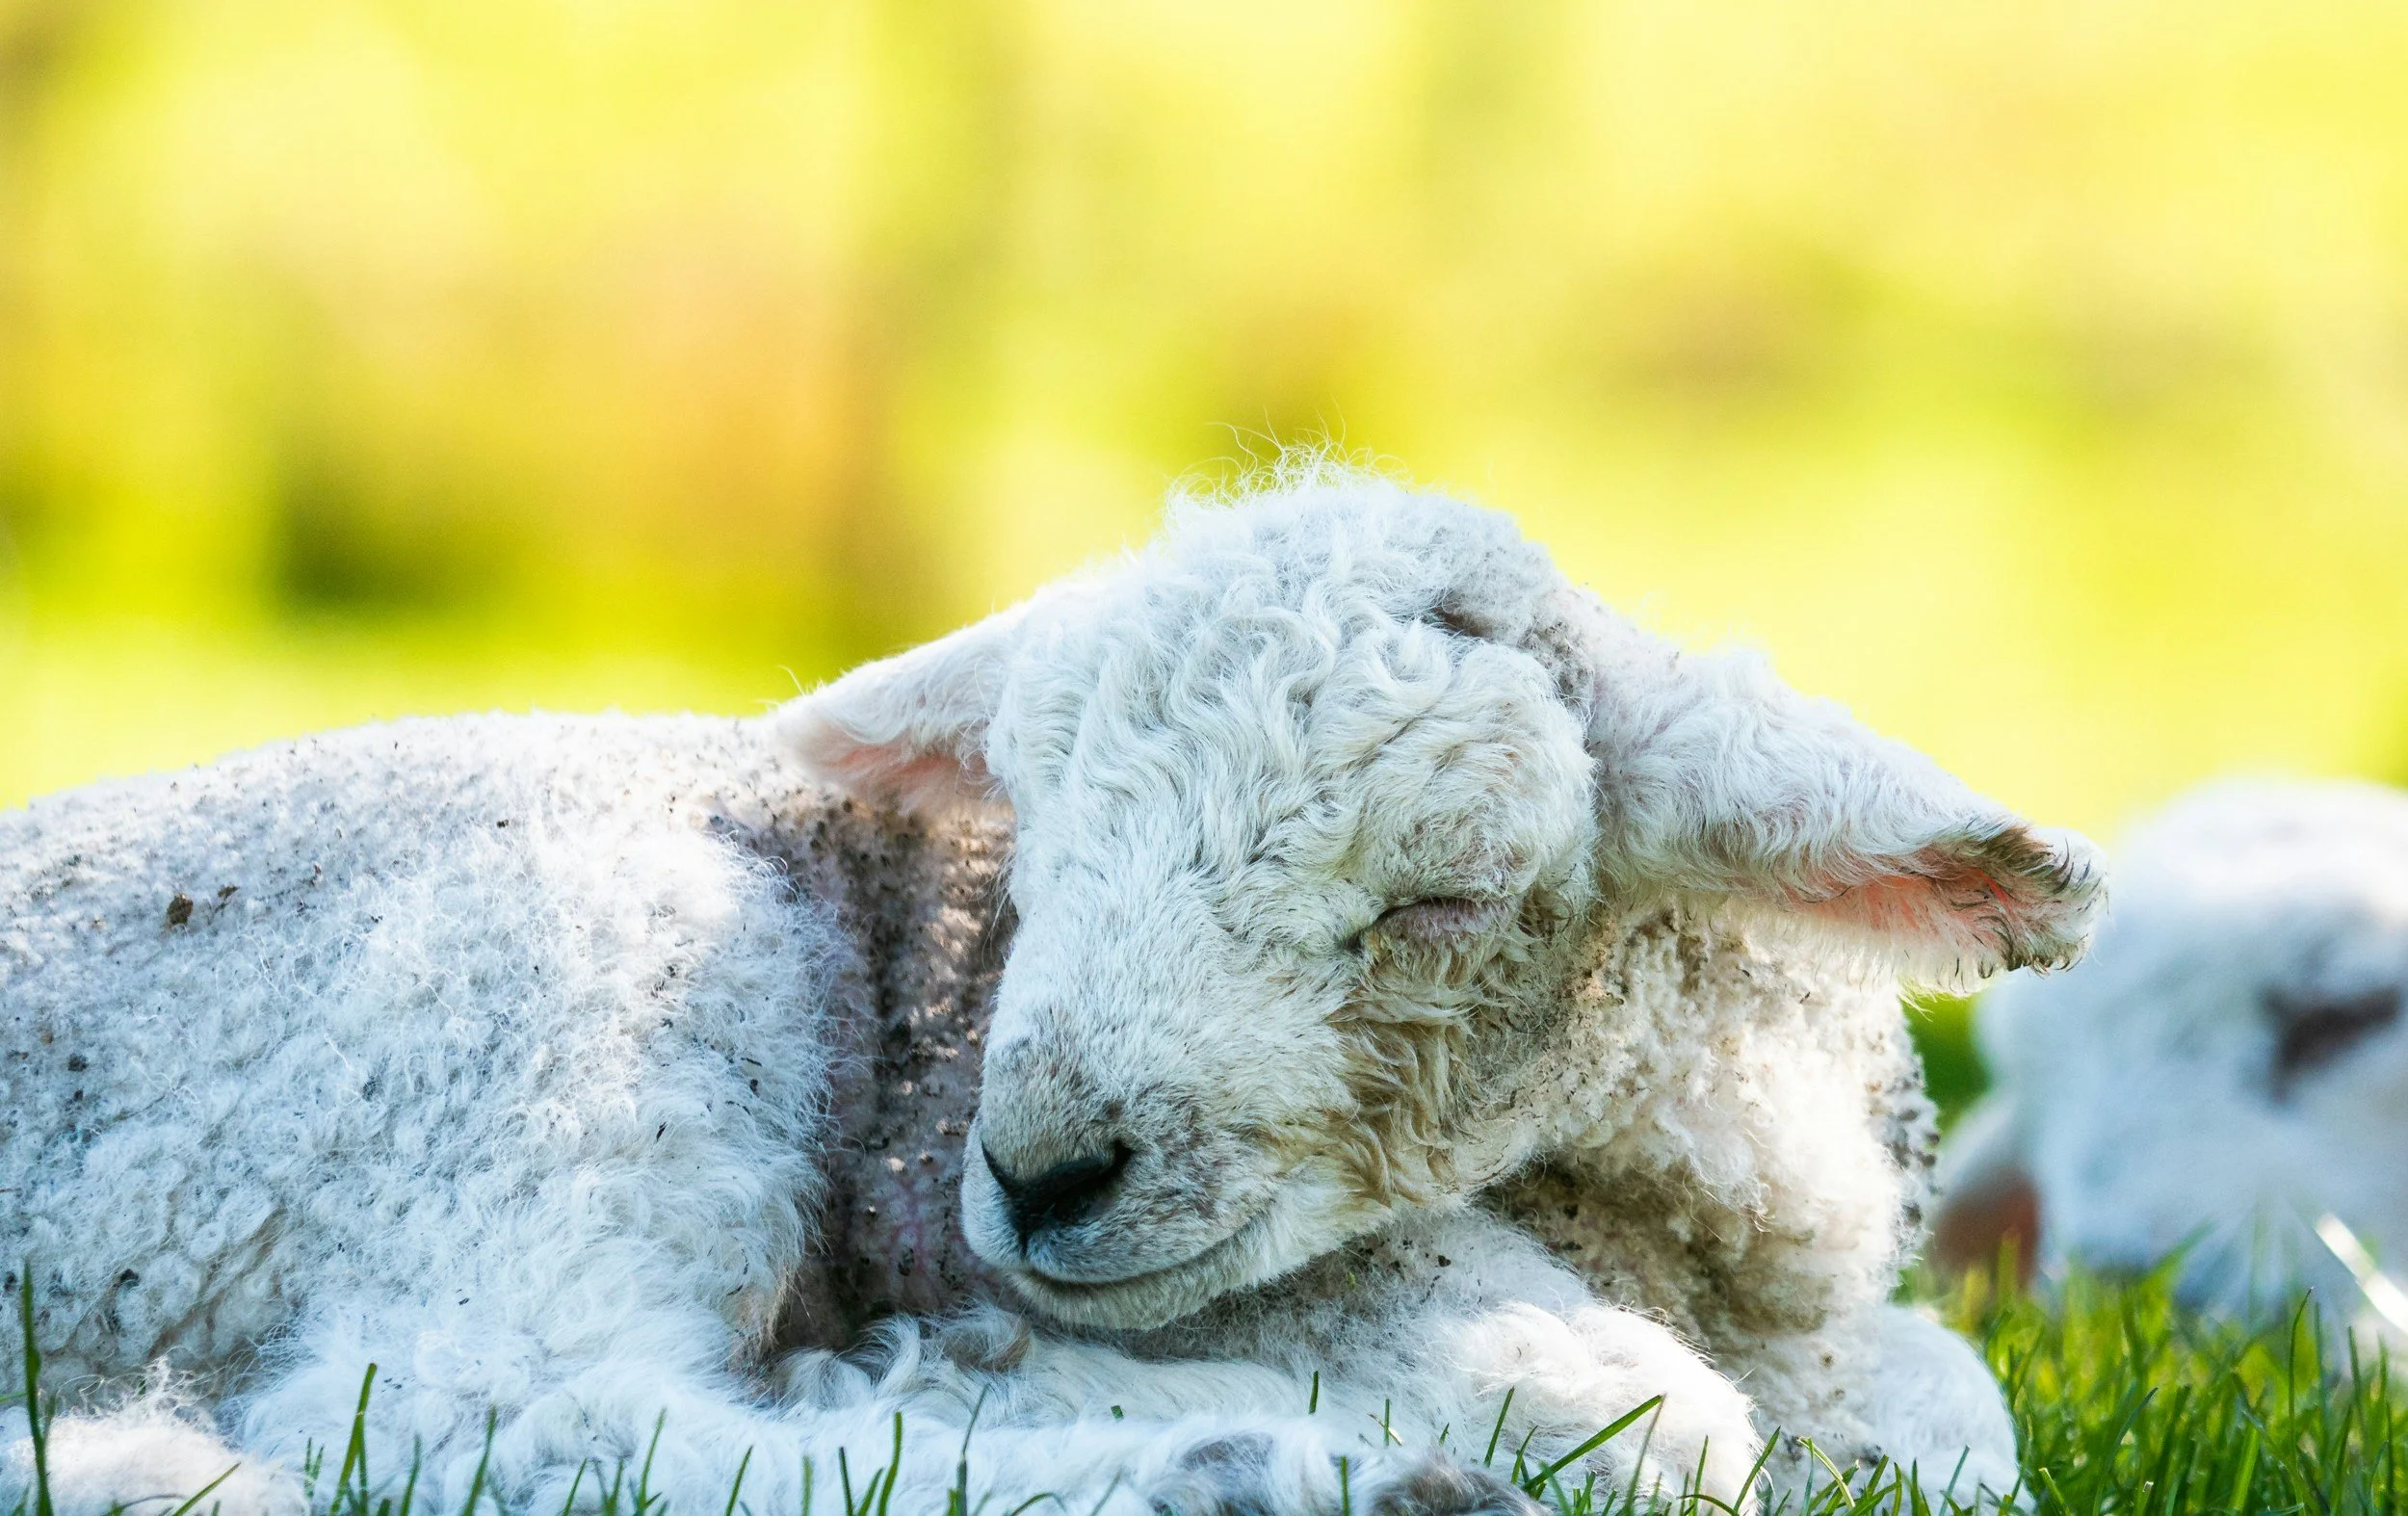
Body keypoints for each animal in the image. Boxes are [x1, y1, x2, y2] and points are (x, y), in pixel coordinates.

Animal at [2, 466, 2103, 1516]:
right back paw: (1261, 1466)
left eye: (1444, 898)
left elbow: (1957, 1421)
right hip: (563, 992)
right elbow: (1638, 1412)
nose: (1032, 1175)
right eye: (1033, 842)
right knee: (509, 1411)